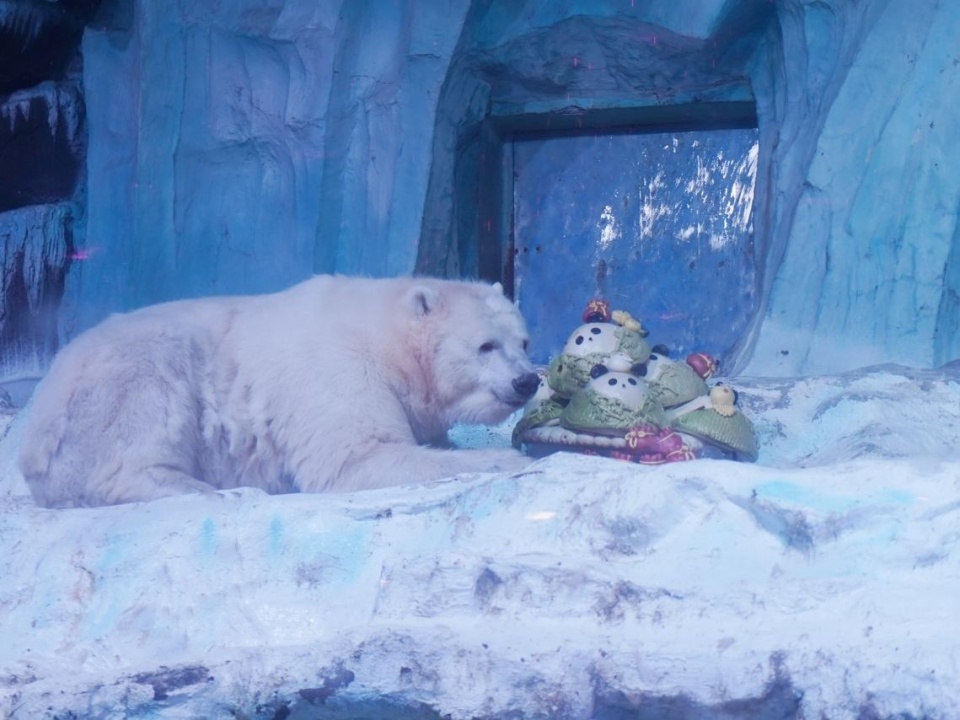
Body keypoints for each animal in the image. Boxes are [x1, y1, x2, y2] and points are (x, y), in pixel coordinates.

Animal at [19, 275, 540, 508]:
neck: (383, 334)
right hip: (123, 376)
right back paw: (221, 490)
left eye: (523, 342)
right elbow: (355, 457)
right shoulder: (338, 370)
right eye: (485, 345)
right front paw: (507, 458)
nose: (527, 380)